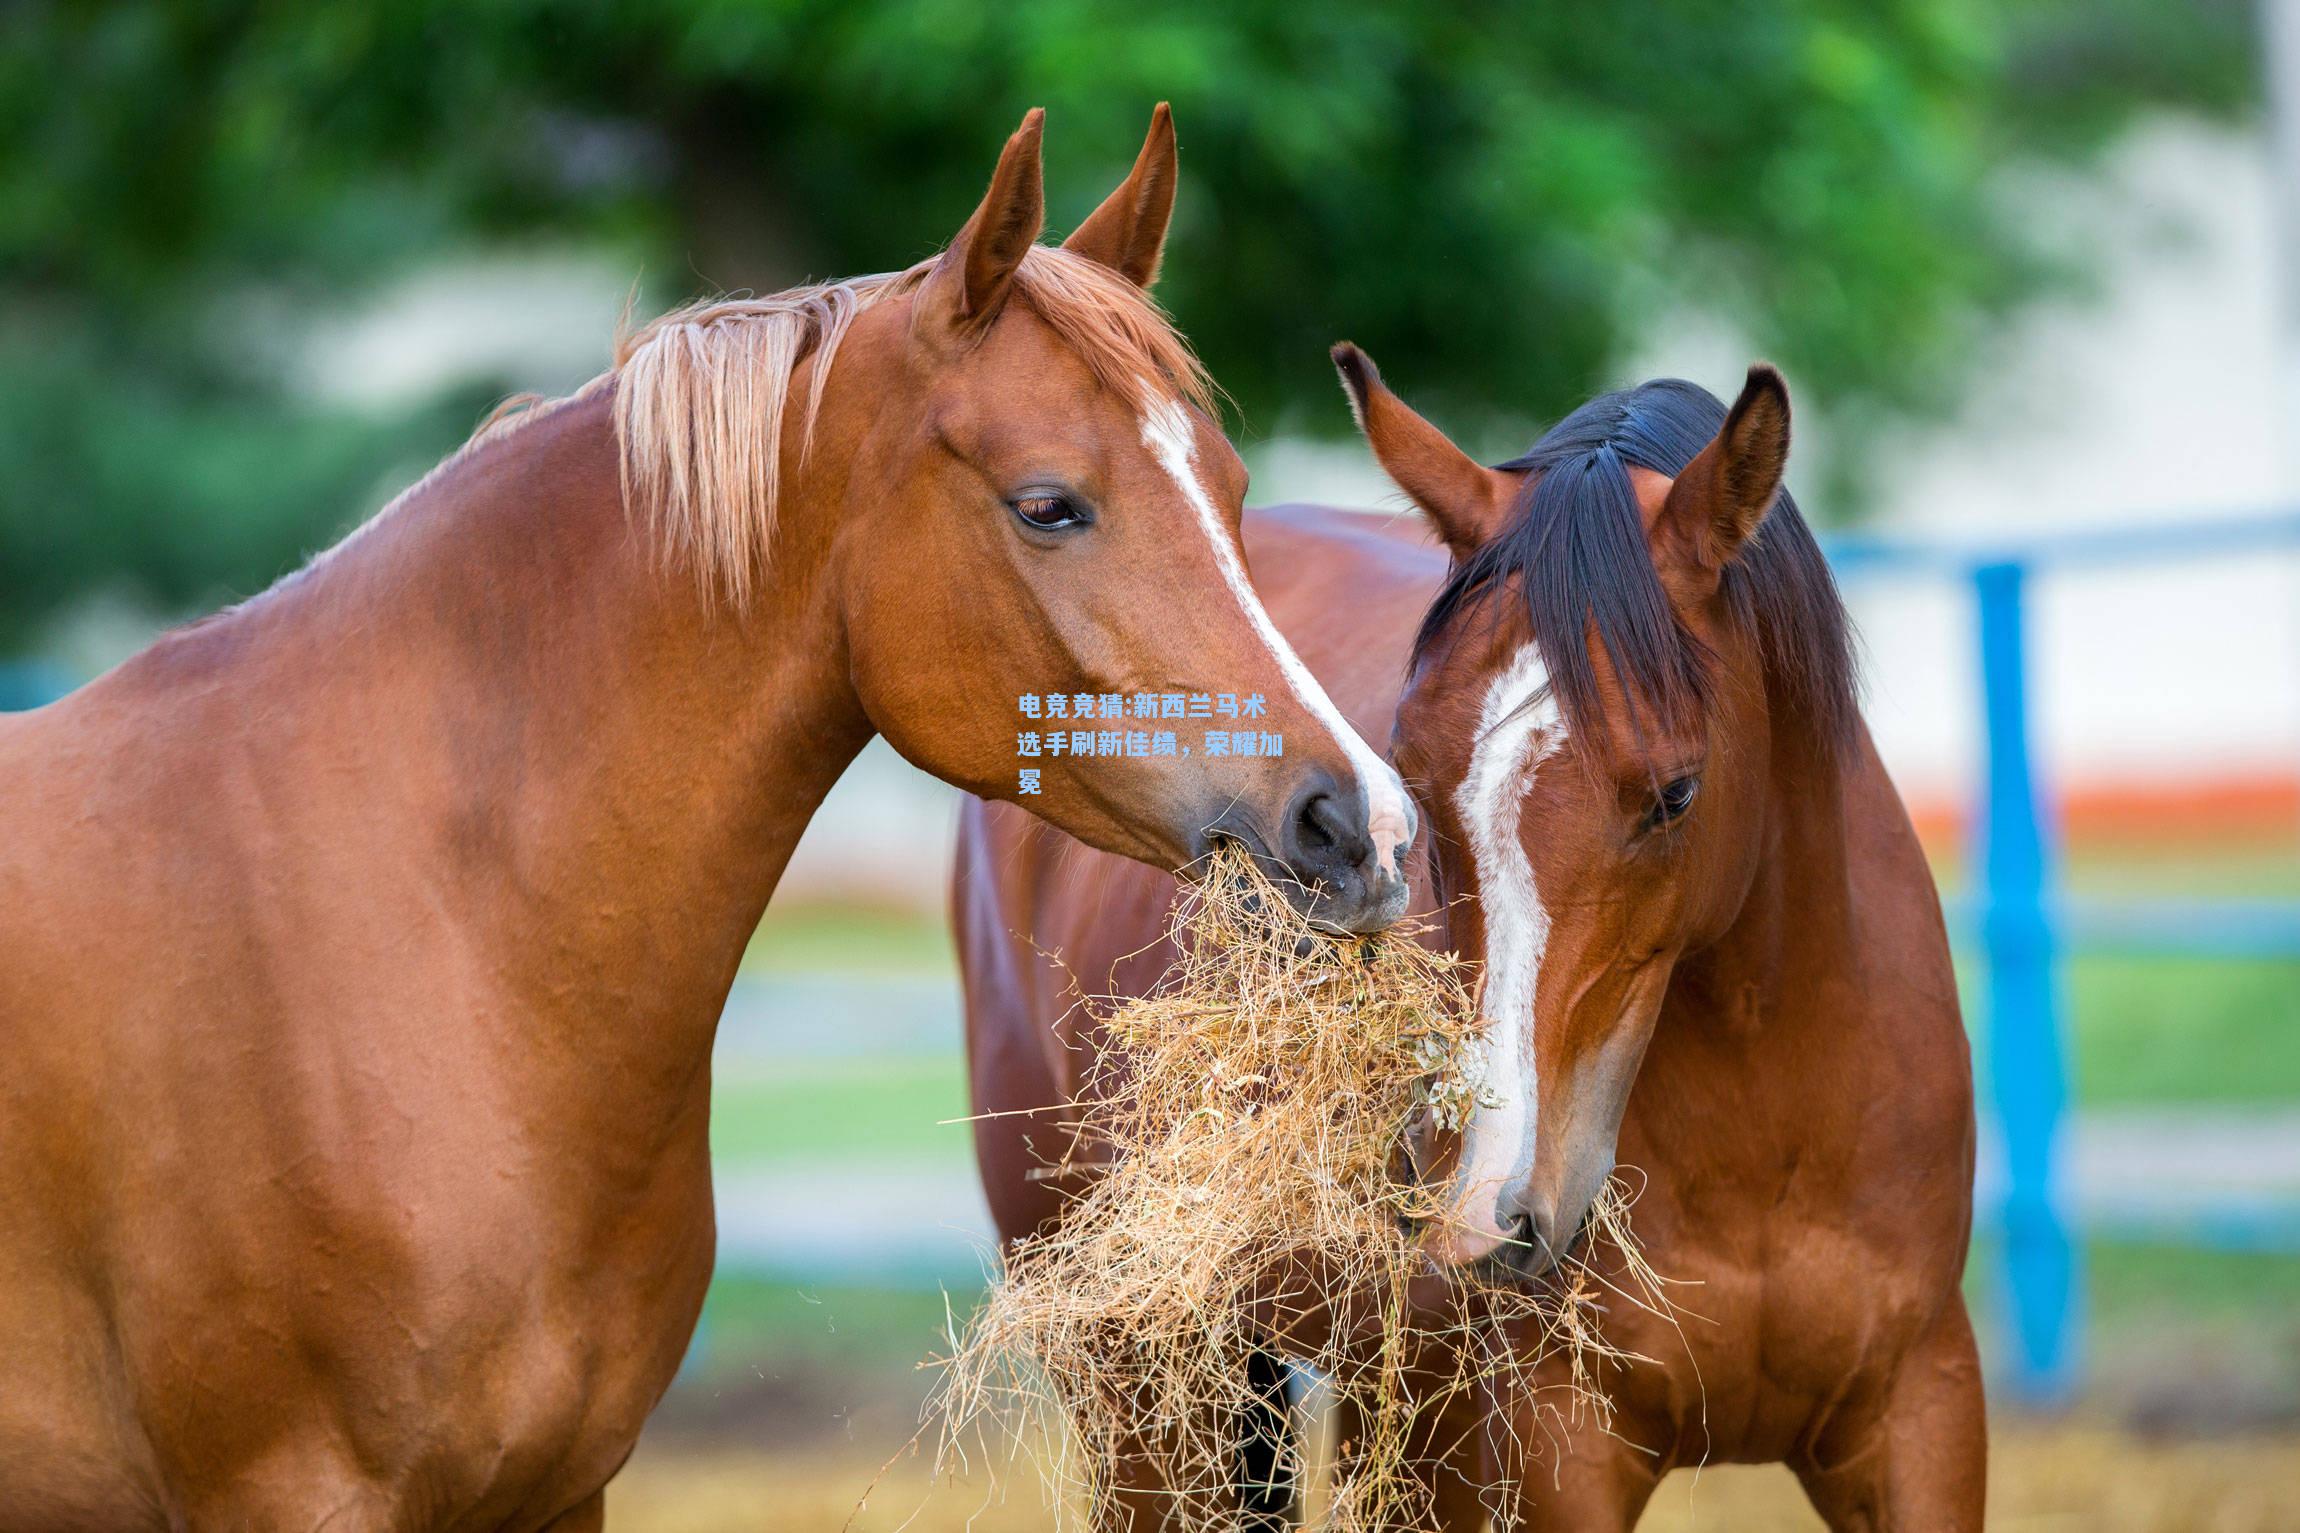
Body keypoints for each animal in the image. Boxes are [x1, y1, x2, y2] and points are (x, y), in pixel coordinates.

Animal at [952, 356, 1978, 1526]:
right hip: (1144, 1391)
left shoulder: (1920, 1414)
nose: (1489, 1211)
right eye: (1415, 777)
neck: (1769, 1127)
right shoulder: (1548, 1455)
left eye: (1675, 794)